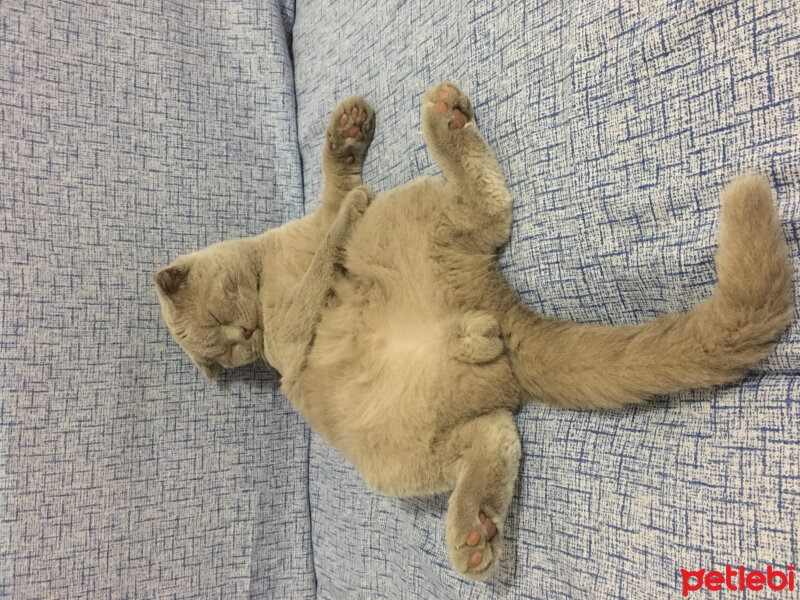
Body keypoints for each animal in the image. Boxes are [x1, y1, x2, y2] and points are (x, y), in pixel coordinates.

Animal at [153, 82, 792, 580]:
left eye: (222, 329)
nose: (243, 335)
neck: (267, 278)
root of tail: (496, 315)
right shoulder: (288, 342)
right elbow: (327, 246)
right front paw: (352, 200)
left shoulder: (300, 268)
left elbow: (334, 190)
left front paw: (348, 137)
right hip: (402, 457)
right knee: (495, 430)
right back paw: (475, 529)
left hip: (418, 222)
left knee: (490, 214)